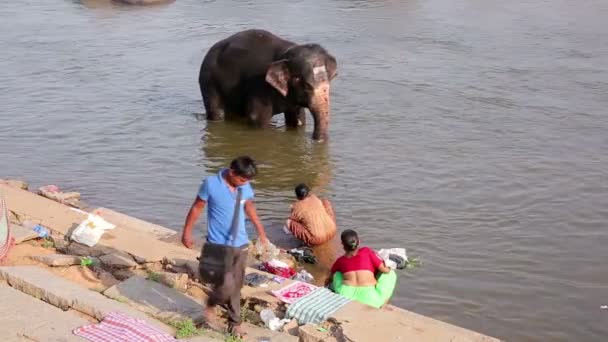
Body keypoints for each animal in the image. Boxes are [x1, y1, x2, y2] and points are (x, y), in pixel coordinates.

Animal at [198, 29, 338, 141]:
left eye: (329, 82)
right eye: (302, 82)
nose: (316, 140)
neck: (287, 53)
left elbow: (298, 118)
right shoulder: (259, 86)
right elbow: (258, 118)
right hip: (208, 82)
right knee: (216, 112)